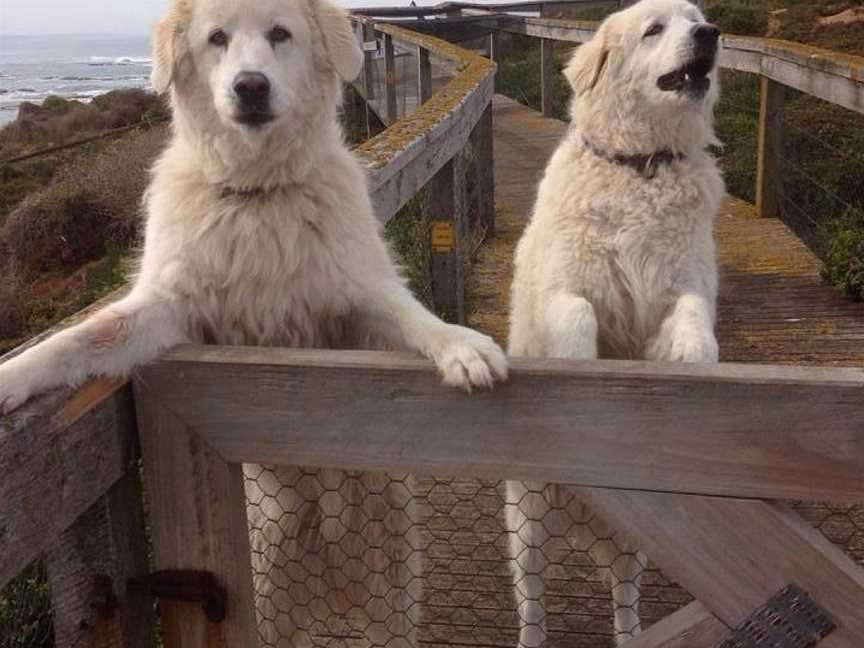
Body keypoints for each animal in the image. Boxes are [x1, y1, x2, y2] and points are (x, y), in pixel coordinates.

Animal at [0, 0, 506, 640]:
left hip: (390, 591)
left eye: (279, 34)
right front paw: (12, 376)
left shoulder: (357, 297)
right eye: (217, 38)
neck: (257, 193)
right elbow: (83, 338)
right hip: (267, 595)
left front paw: (462, 347)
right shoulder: (171, 309)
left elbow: (411, 315)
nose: (250, 86)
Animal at [506, 0, 724, 640]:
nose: (710, 34)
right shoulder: (565, 286)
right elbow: (578, 313)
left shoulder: (683, 281)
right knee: (532, 601)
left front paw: (695, 357)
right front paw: (581, 370)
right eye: (655, 29)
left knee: (625, 601)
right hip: (528, 522)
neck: (640, 167)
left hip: (634, 548)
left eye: (697, 17)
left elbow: (694, 312)